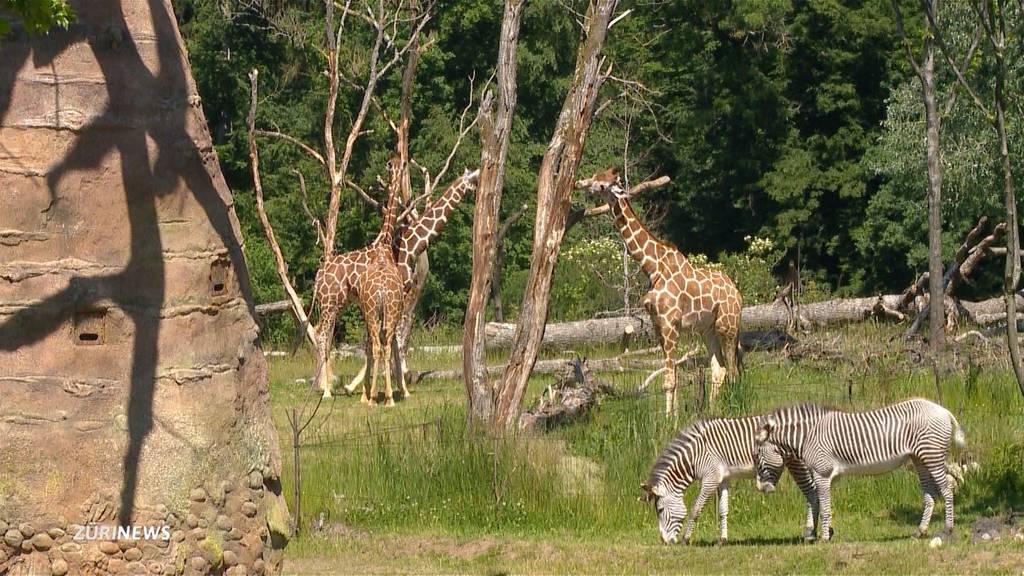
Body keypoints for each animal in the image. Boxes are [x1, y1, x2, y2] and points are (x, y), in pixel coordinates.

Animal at [313, 152, 405, 397]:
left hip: (334, 304)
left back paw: (323, 386)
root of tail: (318, 277)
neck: (382, 241)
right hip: (329, 303)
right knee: (322, 336)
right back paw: (327, 391)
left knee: (320, 334)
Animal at [342, 168, 481, 391]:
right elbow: (396, 333)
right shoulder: (401, 290)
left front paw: (398, 377)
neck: (411, 244)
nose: (479, 182)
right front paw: (399, 378)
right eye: (473, 177)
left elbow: (394, 334)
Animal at [581, 166, 741, 412]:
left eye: (603, 184)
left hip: (727, 326)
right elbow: (671, 375)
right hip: (707, 329)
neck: (652, 267)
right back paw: (712, 410)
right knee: (719, 368)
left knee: (733, 370)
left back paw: (731, 409)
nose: (582, 183)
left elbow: (669, 380)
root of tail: (738, 293)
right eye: (596, 175)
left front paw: (668, 418)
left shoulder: (670, 323)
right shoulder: (658, 324)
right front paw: (673, 415)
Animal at [638, 412, 823, 541]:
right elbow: (723, 510)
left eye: (660, 510)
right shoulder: (722, 478)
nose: (664, 541)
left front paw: (686, 539)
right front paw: (722, 540)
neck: (695, 455)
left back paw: (811, 535)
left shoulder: (710, 478)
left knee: (812, 493)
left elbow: (696, 509)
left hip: (797, 463)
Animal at [757, 397, 962, 541]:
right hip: (920, 458)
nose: (761, 489)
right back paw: (920, 531)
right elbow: (821, 503)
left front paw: (824, 537)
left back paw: (948, 529)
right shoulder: (825, 475)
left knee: (947, 489)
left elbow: (824, 506)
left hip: (932, 456)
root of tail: (944, 411)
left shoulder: (822, 472)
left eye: (757, 455)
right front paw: (825, 532)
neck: (809, 436)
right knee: (930, 493)